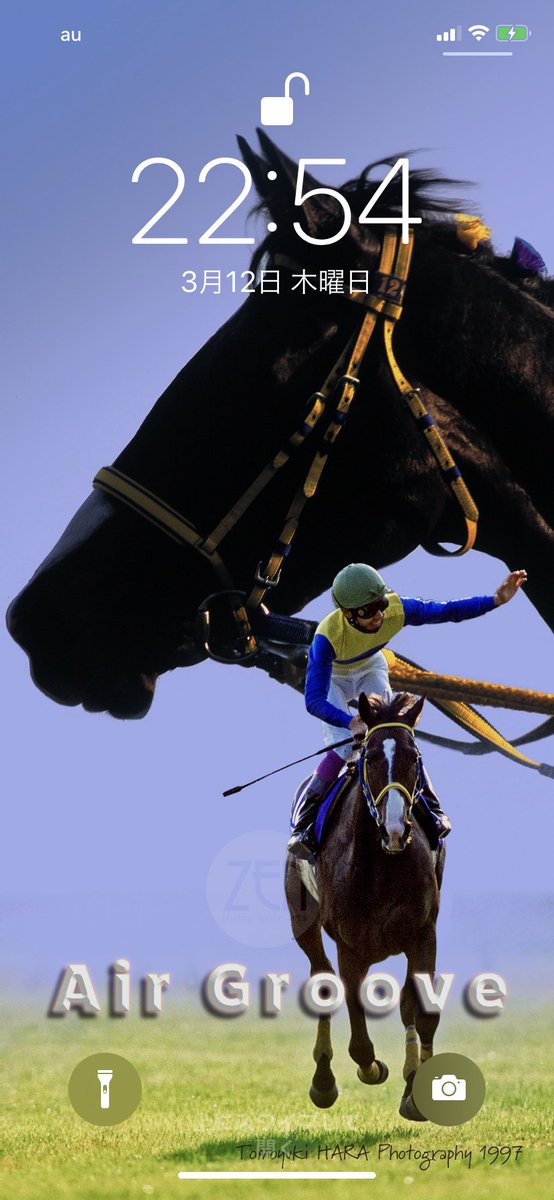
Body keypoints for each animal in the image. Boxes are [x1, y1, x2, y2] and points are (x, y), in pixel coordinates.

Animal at [285, 691, 445, 1118]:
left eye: (415, 756)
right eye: (370, 758)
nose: (395, 828)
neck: (383, 862)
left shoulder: (423, 933)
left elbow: (421, 1010)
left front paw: (415, 1092)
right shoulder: (349, 944)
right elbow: (358, 1037)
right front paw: (371, 1068)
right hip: (303, 923)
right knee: (322, 982)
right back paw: (324, 1081)